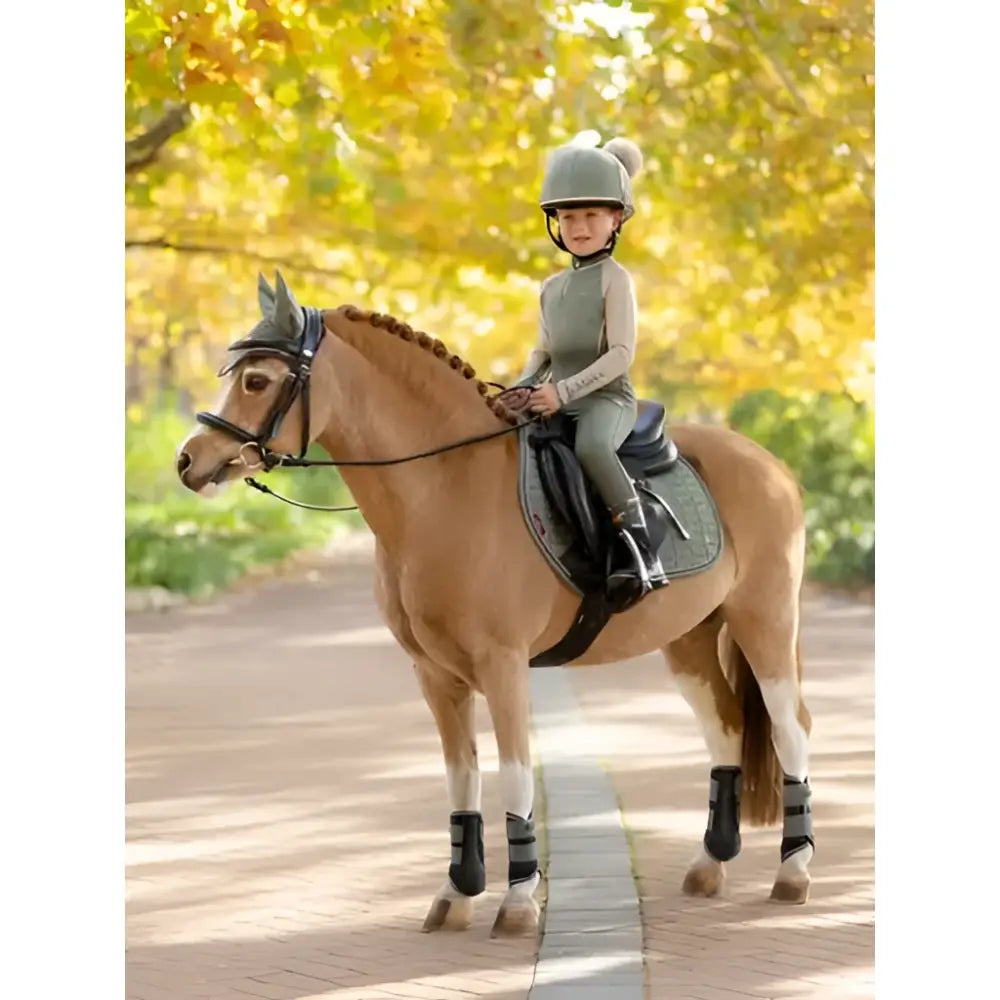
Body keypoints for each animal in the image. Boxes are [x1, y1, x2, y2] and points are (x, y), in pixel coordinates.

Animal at [175, 273, 814, 938]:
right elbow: (462, 778)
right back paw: (710, 866)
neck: (446, 488)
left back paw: (793, 875)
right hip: (688, 640)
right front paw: (456, 895)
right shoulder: (434, 675)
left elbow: (513, 773)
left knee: (790, 729)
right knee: (728, 727)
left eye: (255, 380)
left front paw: (517, 902)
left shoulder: (504, 666)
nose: (188, 461)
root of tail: (769, 463)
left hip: (764, 622)